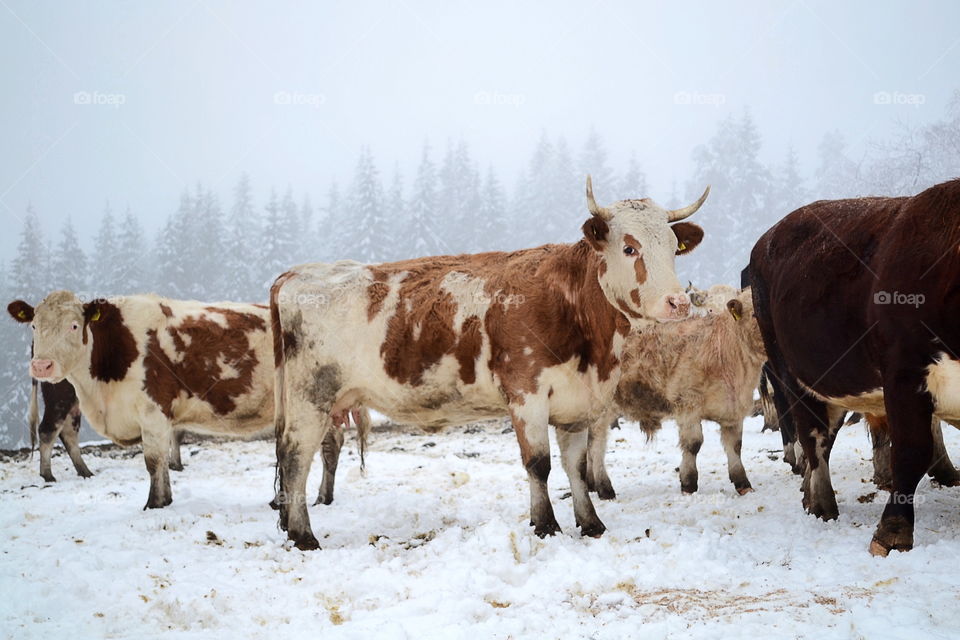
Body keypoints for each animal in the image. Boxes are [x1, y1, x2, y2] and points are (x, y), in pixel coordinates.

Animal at [12, 292, 274, 510]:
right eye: (34, 325)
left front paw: (155, 503)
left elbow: (154, 460)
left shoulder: (153, 410)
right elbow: (163, 457)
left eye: (74, 326)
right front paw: (166, 499)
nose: (41, 365)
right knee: (61, 430)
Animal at [270, 176, 704, 552]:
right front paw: (546, 525)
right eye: (629, 248)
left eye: (671, 246)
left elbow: (576, 467)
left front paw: (591, 523)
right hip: (311, 395)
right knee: (295, 456)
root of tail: (295, 273)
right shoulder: (527, 393)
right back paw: (303, 535)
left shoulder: (577, 403)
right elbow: (539, 464)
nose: (678, 302)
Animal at [584, 288, 764, 498]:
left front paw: (743, 483)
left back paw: (591, 483)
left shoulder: (733, 410)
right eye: (755, 314)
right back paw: (604, 487)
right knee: (597, 443)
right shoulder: (687, 403)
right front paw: (688, 483)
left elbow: (735, 446)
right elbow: (693, 444)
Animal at [752, 179, 960, 556]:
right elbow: (912, 450)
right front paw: (892, 531)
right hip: (790, 372)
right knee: (813, 436)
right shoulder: (903, 373)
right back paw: (821, 503)